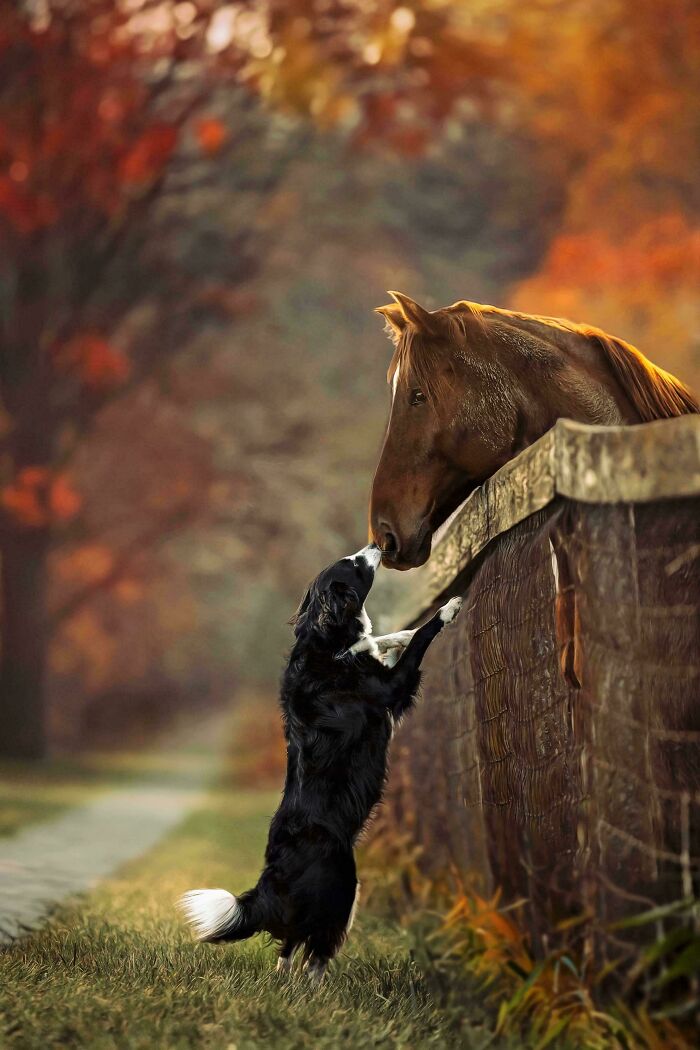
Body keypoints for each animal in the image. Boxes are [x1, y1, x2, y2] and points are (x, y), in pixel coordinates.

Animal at [180, 546, 461, 978]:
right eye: (354, 564)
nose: (375, 546)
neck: (326, 641)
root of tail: (268, 884)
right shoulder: (392, 690)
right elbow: (419, 642)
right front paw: (446, 610)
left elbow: (385, 639)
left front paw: (395, 634)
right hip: (344, 886)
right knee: (316, 950)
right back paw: (320, 986)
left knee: (289, 947)